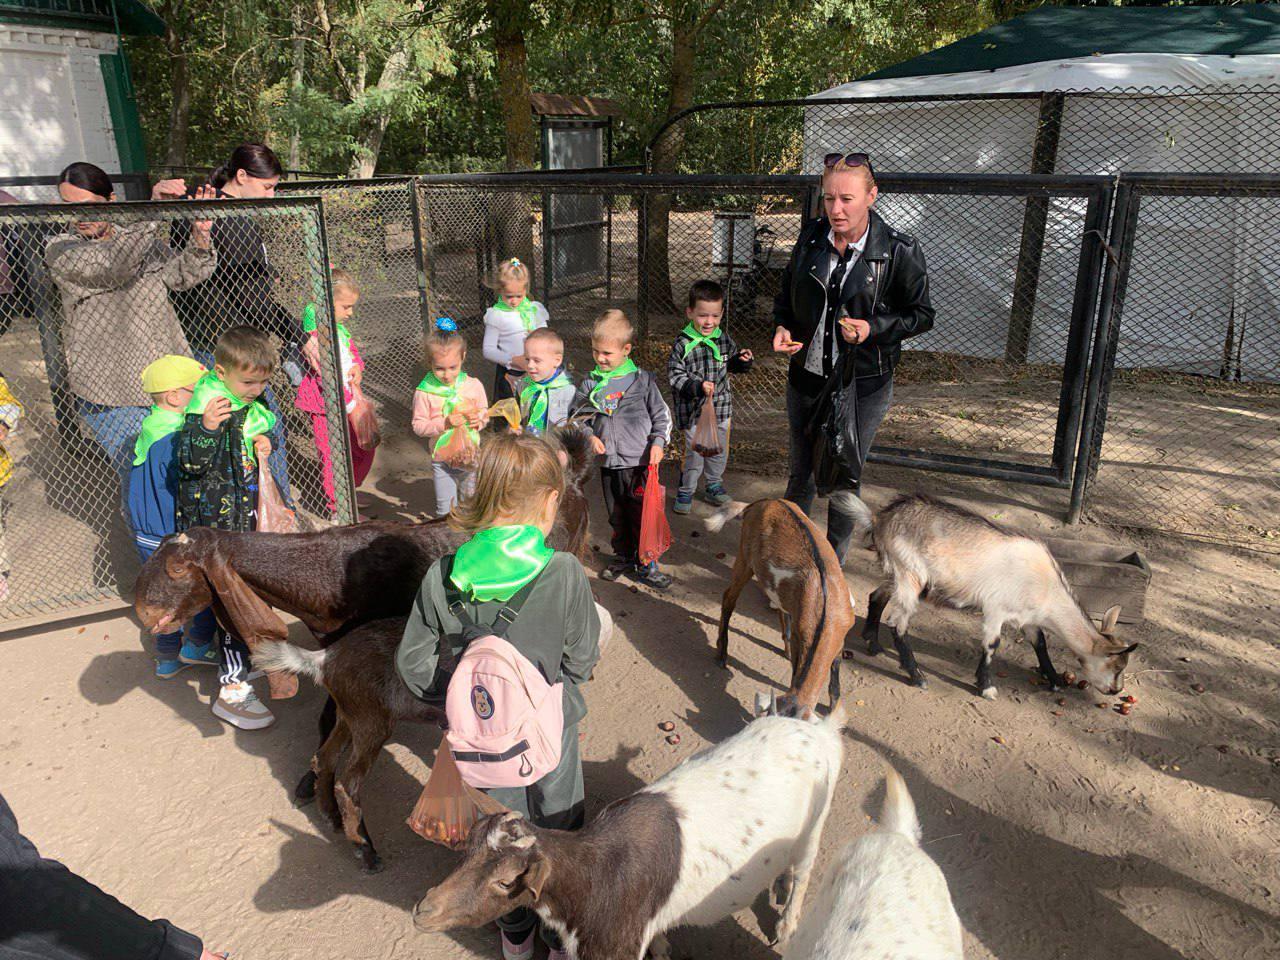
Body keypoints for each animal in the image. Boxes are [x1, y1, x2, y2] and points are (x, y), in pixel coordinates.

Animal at [706, 504, 855, 716]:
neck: (827, 609)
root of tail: (760, 503)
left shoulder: (840, 635)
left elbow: (835, 674)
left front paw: (834, 706)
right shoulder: (802, 637)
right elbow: (796, 670)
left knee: (779, 608)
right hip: (745, 557)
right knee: (729, 597)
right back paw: (722, 654)